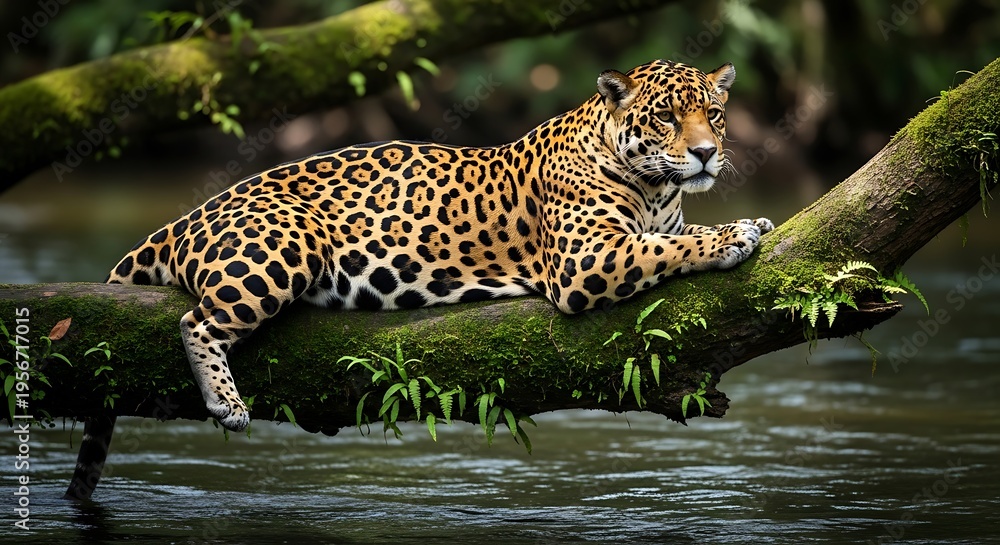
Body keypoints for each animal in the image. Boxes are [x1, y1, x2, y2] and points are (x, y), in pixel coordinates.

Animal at [64, 59, 773, 500]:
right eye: (664, 118)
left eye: (714, 113)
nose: (707, 153)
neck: (655, 188)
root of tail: (188, 214)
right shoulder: (587, 258)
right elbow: (674, 246)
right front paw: (737, 231)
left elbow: (671, 236)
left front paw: (752, 217)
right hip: (287, 243)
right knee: (197, 319)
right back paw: (226, 404)